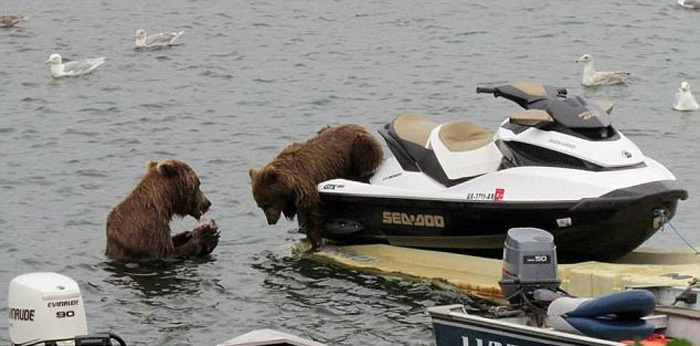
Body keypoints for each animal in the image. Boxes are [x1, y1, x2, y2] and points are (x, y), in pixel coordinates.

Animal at [249, 124, 382, 251]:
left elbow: (312, 213)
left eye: (267, 203)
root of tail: (358, 126)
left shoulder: (306, 185)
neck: (291, 183)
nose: (270, 221)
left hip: (359, 147)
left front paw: (315, 243)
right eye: (260, 206)